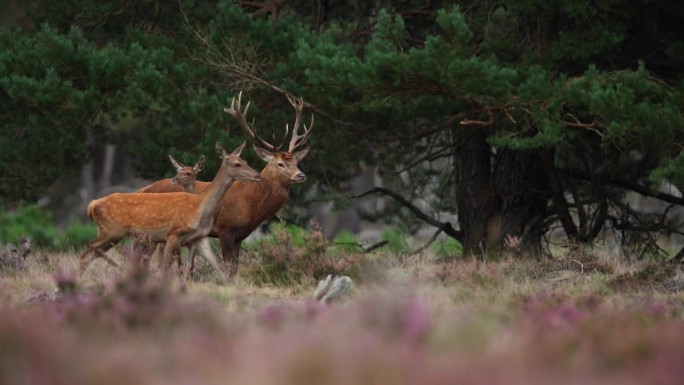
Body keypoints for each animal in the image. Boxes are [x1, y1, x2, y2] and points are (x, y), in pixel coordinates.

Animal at [79, 142, 260, 276]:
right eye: (237, 164)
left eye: (244, 162)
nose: (257, 175)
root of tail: (92, 204)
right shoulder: (173, 237)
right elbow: (172, 266)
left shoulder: (194, 240)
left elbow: (196, 265)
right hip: (116, 231)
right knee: (92, 251)